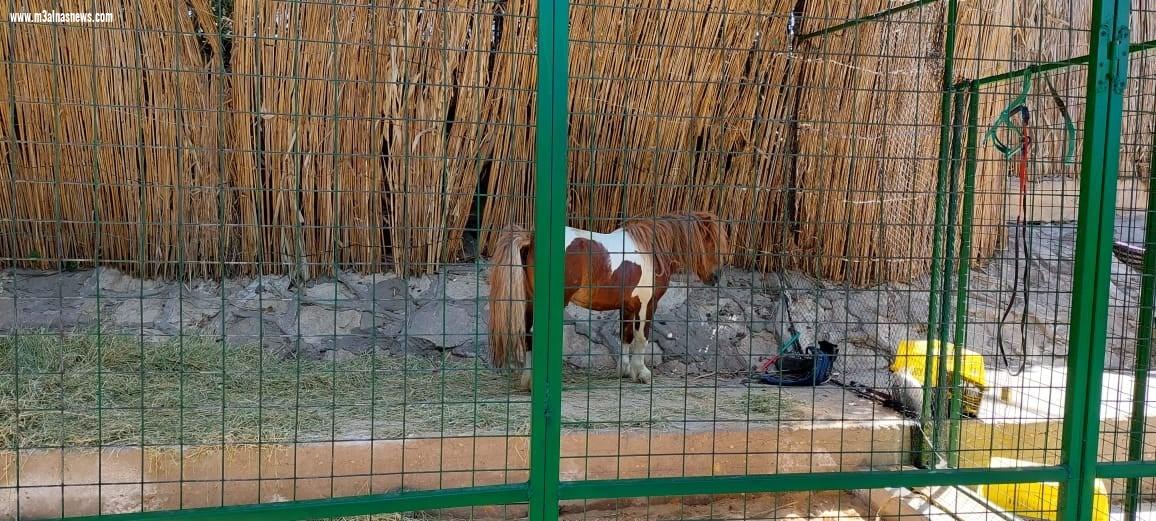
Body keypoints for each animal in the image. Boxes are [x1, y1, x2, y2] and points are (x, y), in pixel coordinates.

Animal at [487, 212, 730, 392]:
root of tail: (532, 239)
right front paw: (642, 373)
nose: (716, 277)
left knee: (528, 335)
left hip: (530, 300)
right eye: (711, 241)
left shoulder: (628, 306)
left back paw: (528, 381)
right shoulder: (646, 306)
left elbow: (626, 336)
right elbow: (642, 338)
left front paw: (625, 371)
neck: (649, 252)